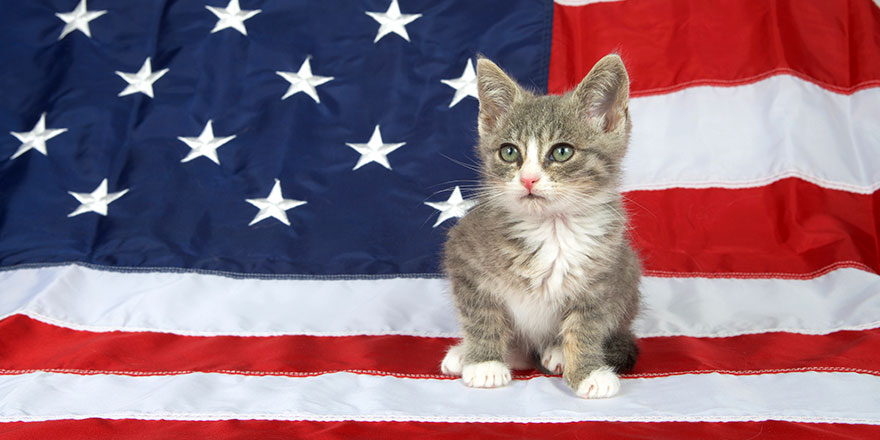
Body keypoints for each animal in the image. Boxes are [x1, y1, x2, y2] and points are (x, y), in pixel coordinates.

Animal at [440, 54, 640, 398]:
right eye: (509, 152)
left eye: (561, 151)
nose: (528, 179)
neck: (552, 229)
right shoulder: (463, 255)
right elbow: (480, 314)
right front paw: (484, 363)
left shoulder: (607, 272)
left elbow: (587, 325)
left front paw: (587, 370)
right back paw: (468, 353)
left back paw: (555, 351)